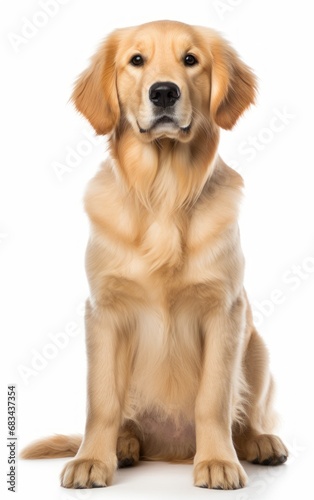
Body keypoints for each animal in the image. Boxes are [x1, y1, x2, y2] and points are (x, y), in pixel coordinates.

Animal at [20, 21, 288, 490]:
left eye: (190, 59)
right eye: (136, 60)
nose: (164, 92)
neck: (164, 193)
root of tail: (170, 450)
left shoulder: (225, 311)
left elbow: (214, 399)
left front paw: (217, 461)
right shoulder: (104, 311)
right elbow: (101, 401)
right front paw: (93, 459)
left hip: (256, 347)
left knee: (247, 415)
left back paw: (258, 442)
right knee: (128, 423)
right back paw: (124, 446)